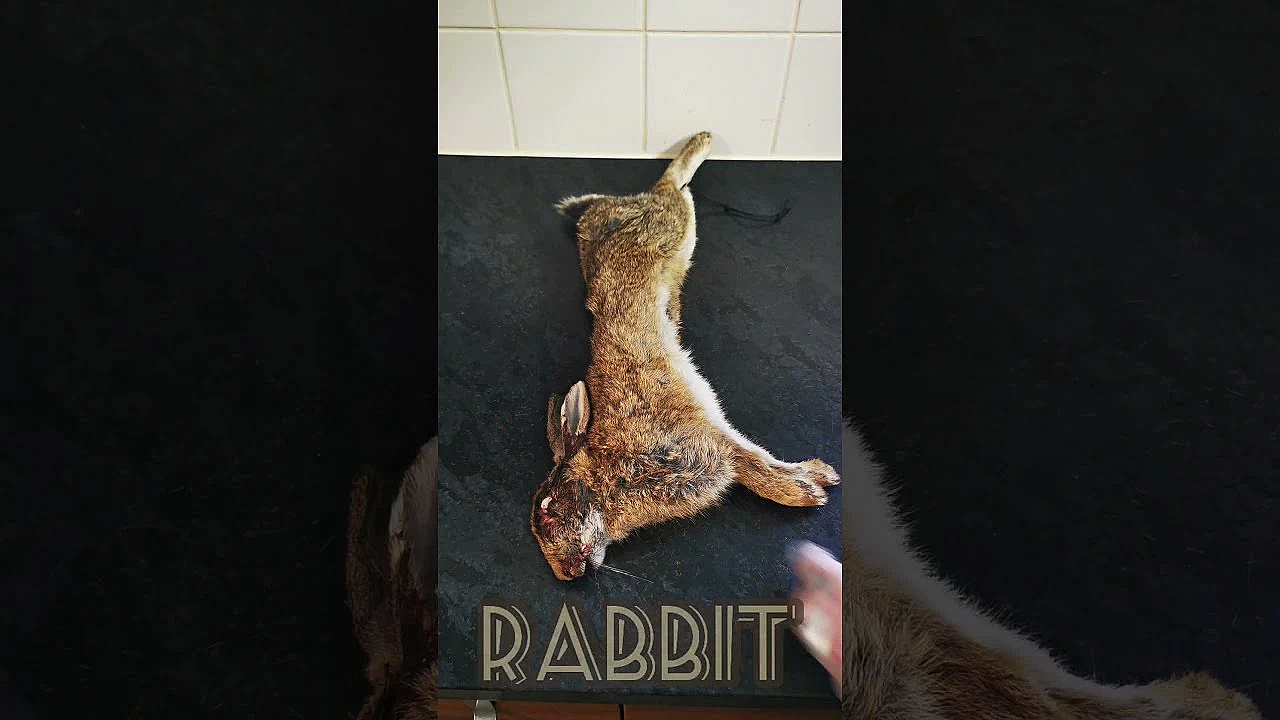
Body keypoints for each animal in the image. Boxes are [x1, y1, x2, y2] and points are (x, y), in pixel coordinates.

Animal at [530, 131, 841, 582]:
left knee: (671, 184)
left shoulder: (709, 442)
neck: (607, 474)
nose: (566, 575)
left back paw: (701, 141)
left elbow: (758, 469)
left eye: (548, 510)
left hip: (675, 225)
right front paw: (817, 481)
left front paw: (811, 488)